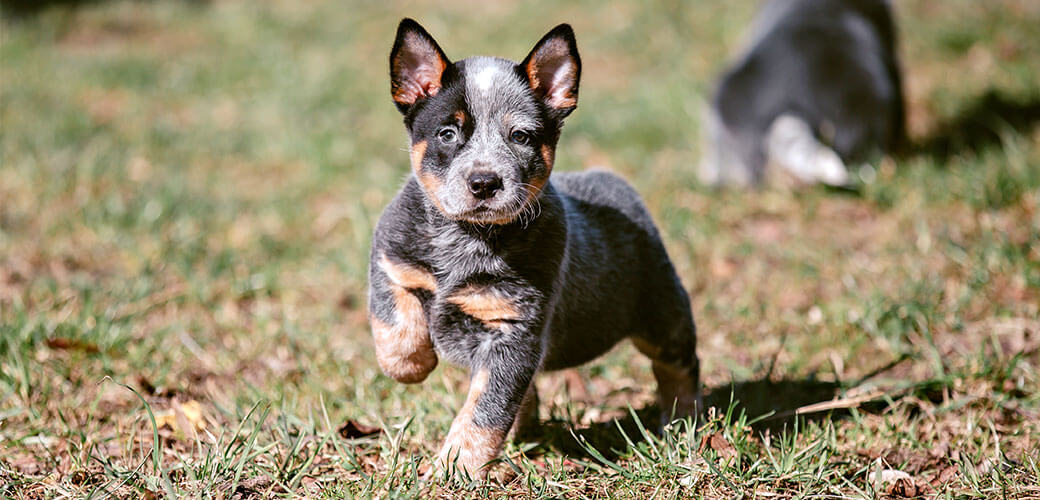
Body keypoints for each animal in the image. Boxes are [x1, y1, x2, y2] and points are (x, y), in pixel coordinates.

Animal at [370, 19, 703, 478]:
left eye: (521, 136)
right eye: (448, 133)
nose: (485, 182)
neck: (466, 239)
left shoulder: (514, 333)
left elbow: (485, 411)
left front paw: (455, 467)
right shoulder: (392, 260)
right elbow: (394, 327)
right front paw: (413, 364)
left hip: (662, 316)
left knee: (680, 365)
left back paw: (682, 421)